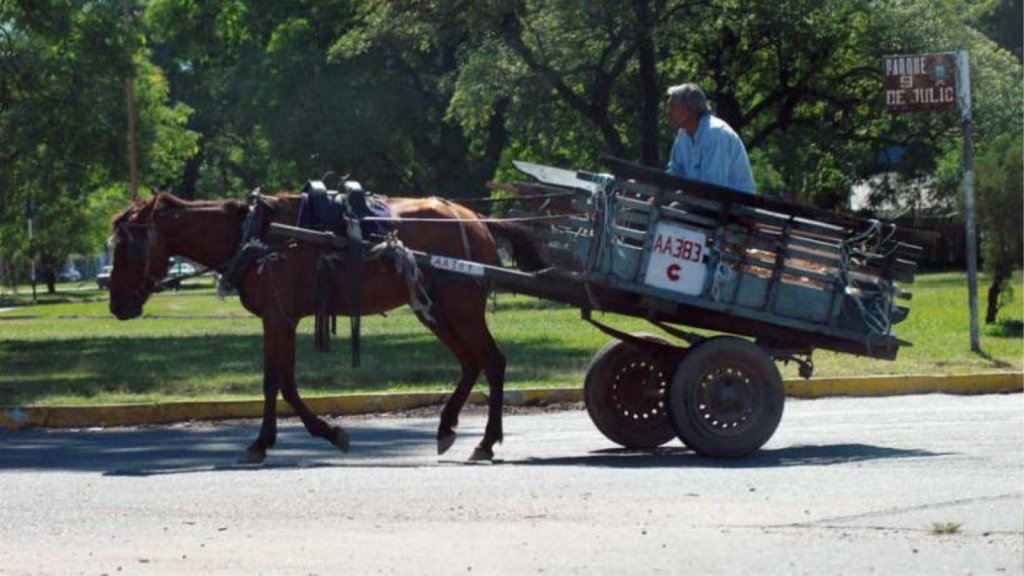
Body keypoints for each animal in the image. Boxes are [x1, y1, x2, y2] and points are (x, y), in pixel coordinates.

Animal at [105, 191, 544, 461]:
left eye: (129, 246)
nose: (117, 305)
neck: (258, 236)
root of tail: (477, 219)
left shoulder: (277, 317)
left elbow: (274, 381)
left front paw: (263, 443)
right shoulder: (281, 318)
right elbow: (285, 381)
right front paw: (324, 432)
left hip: (461, 306)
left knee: (492, 361)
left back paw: (485, 442)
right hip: (434, 308)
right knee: (472, 363)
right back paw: (447, 427)